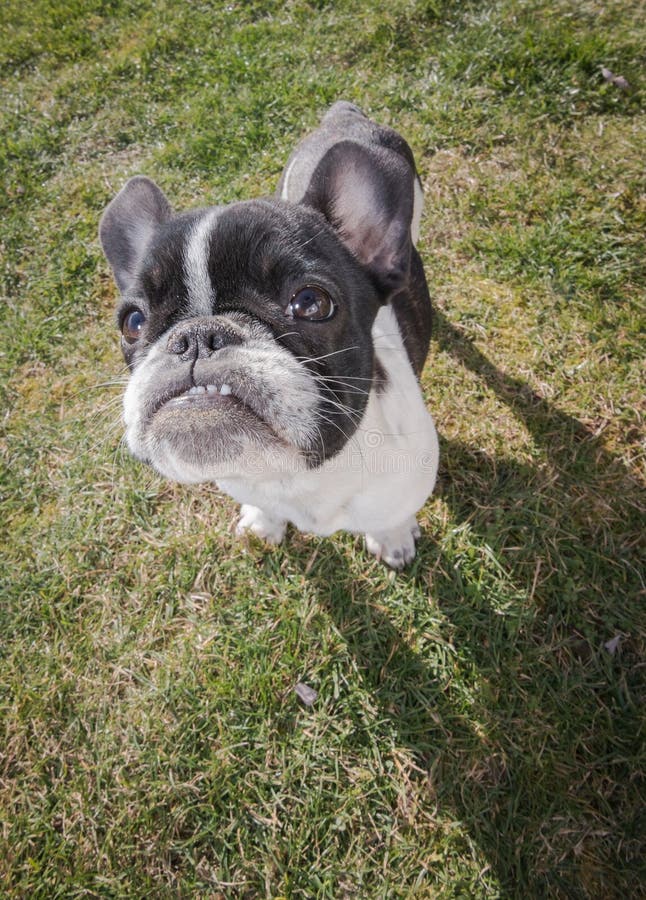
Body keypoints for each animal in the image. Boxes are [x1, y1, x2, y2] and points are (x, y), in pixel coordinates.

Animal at [100, 102, 440, 568]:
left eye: (311, 302)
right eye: (132, 323)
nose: (196, 337)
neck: (292, 475)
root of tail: (346, 114)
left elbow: (392, 516)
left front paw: (393, 538)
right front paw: (264, 522)